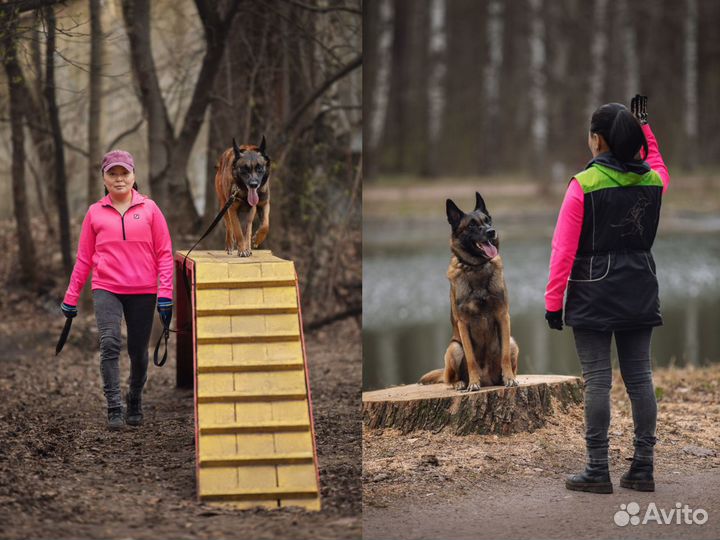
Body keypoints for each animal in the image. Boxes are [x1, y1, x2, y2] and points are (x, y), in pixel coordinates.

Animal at [420, 192, 520, 390]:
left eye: (488, 220)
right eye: (471, 225)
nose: (491, 231)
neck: (477, 267)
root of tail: (488, 380)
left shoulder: (503, 316)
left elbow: (504, 355)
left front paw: (509, 378)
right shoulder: (463, 323)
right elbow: (471, 358)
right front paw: (473, 383)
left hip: (513, 342)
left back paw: (503, 378)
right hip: (453, 348)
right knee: (448, 379)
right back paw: (460, 383)